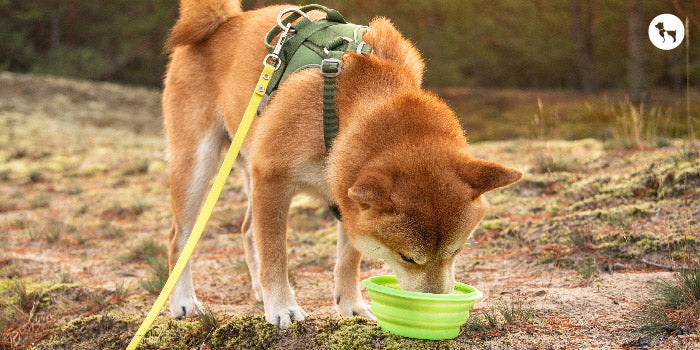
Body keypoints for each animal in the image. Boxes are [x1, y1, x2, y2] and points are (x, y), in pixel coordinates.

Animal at [161, 0, 524, 328]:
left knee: (248, 229)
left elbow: (349, 259)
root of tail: (225, 23)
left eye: (456, 251)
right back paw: (183, 301)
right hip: (199, 165)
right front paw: (282, 307)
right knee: (180, 237)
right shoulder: (273, 178)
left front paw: (351, 306)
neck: (350, 99)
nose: (434, 308)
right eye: (407, 257)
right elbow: (276, 255)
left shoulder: (346, 196)